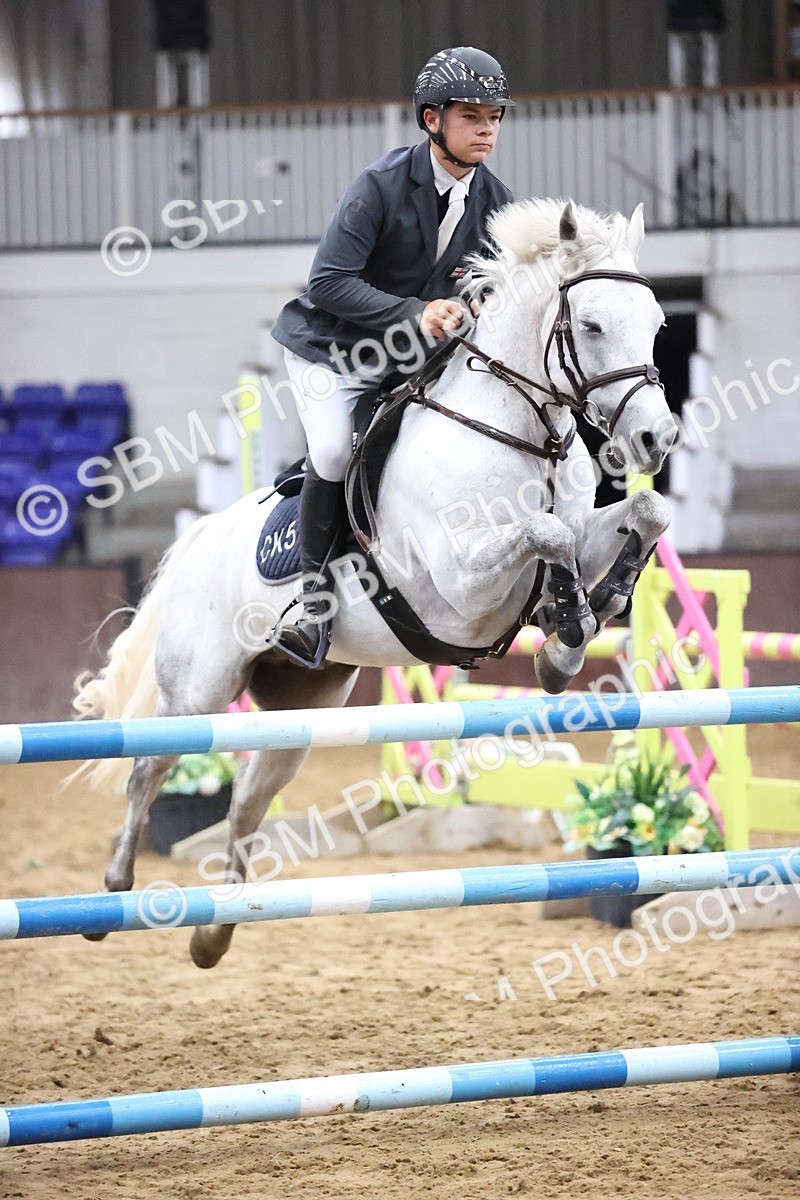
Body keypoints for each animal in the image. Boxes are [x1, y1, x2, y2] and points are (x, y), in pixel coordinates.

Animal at [73, 198, 678, 969]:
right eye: (594, 325)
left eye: (656, 323)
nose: (656, 441)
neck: (514, 432)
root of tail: (205, 536)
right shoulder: (460, 586)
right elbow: (551, 536)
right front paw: (565, 631)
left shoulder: (573, 532)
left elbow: (639, 515)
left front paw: (588, 612)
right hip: (198, 692)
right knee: (148, 771)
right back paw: (112, 897)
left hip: (299, 707)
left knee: (247, 798)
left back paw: (214, 933)